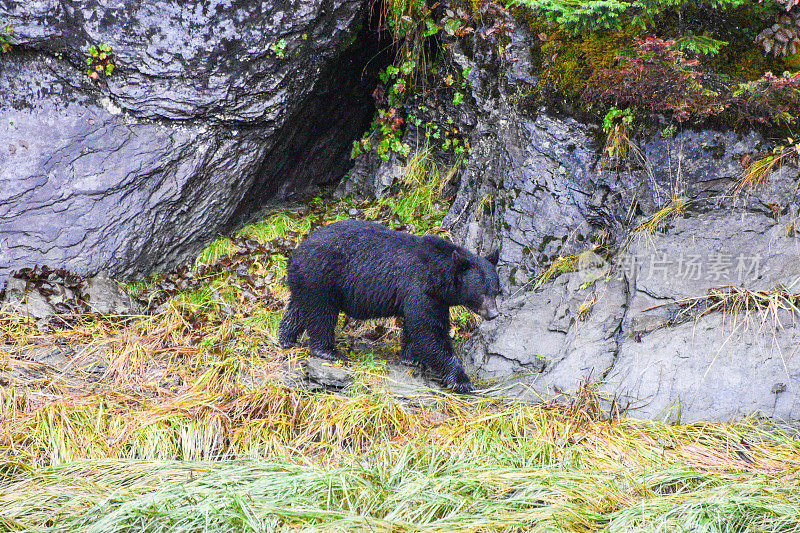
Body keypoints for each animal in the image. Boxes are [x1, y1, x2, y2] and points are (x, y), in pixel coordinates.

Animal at [276, 218, 500, 392]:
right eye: (481, 293)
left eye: (497, 291)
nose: (494, 314)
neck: (437, 274)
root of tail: (295, 254)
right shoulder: (421, 289)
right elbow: (430, 331)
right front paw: (461, 380)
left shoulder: (428, 297)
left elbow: (414, 326)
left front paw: (411, 357)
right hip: (322, 277)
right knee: (321, 314)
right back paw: (328, 351)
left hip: (306, 281)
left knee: (299, 308)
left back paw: (286, 338)